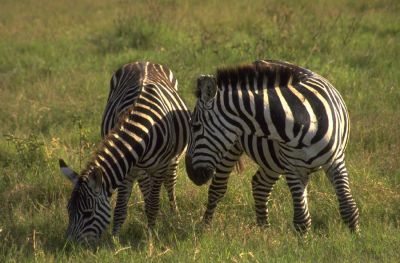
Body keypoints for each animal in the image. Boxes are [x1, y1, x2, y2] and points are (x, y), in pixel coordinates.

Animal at [58, 62, 191, 243]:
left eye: (88, 214)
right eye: (68, 210)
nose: (69, 245)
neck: (143, 131)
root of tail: (144, 61)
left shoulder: (159, 168)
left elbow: (154, 204)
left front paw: (150, 238)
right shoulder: (128, 170)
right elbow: (120, 208)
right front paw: (115, 240)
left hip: (172, 161)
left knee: (170, 187)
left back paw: (174, 217)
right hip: (141, 170)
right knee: (147, 190)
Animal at [186, 59, 360, 233]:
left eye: (195, 126)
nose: (191, 174)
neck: (302, 123)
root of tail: (262, 60)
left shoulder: (336, 161)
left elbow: (349, 209)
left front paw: (355, 237)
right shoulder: (292, 169)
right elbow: (301, 220)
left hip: (272, 161)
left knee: (260, 185)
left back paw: (264, 232)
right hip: (235, 150)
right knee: (218, 188)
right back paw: (206, 228)